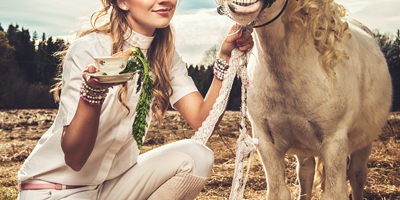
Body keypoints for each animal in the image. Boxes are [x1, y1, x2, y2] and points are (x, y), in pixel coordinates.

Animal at [216, 0, 390, 199]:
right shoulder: (266, 144)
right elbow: (279, 191)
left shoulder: (334, 143)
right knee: (306, 173)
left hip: (364, 142)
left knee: (357, 174)